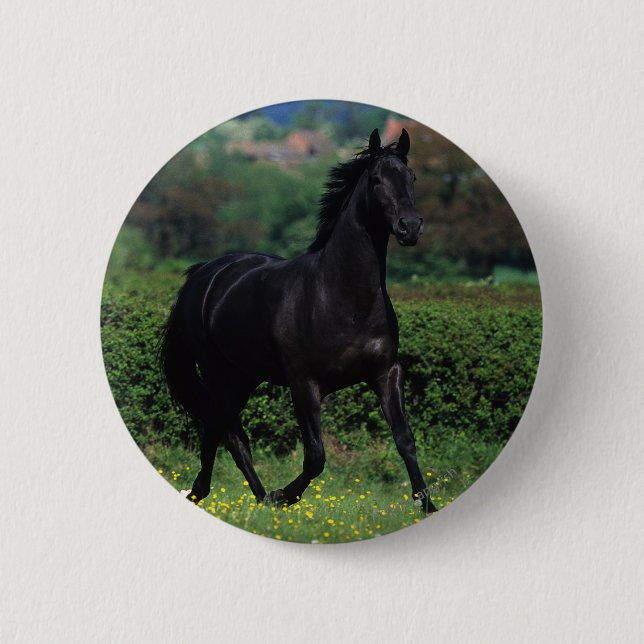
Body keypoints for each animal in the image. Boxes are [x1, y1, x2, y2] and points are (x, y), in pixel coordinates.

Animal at [160, 128, 437, 513]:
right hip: (217, 371)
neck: (343, 298)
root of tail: (202, 274)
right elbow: (315, 457)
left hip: (244, 376)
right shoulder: (304, 383)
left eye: (411, 177)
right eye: (377, 180)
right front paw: (284, 496)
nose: (410, 227)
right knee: (231, 435)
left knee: (217, 429)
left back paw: (221, 495)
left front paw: (428, 506)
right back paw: (256, 499)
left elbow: (405, 440)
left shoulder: (386, 373)